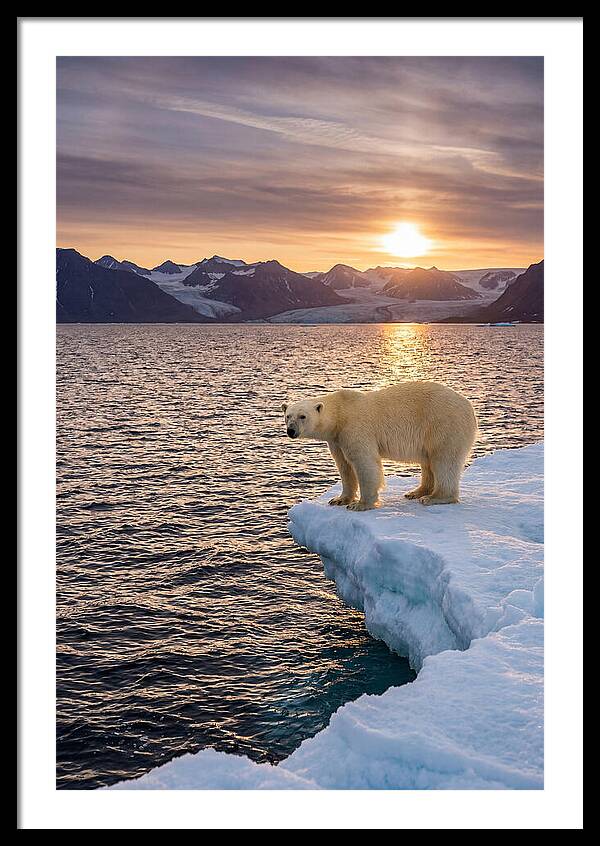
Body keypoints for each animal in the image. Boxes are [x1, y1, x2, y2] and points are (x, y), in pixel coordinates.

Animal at [282, 381, 477, 510]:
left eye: (302, 416)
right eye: (288, 415)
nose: (291, 431)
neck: (340, 413)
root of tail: (470, 407)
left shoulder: (355, 428)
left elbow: (364, 463)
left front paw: (360, 504)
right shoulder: (336, 439)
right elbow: (344, 466)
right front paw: (339, 499)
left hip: (444, 424)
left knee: (444, 460)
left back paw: (434, 497)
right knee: (428, 462)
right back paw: (416, 492)